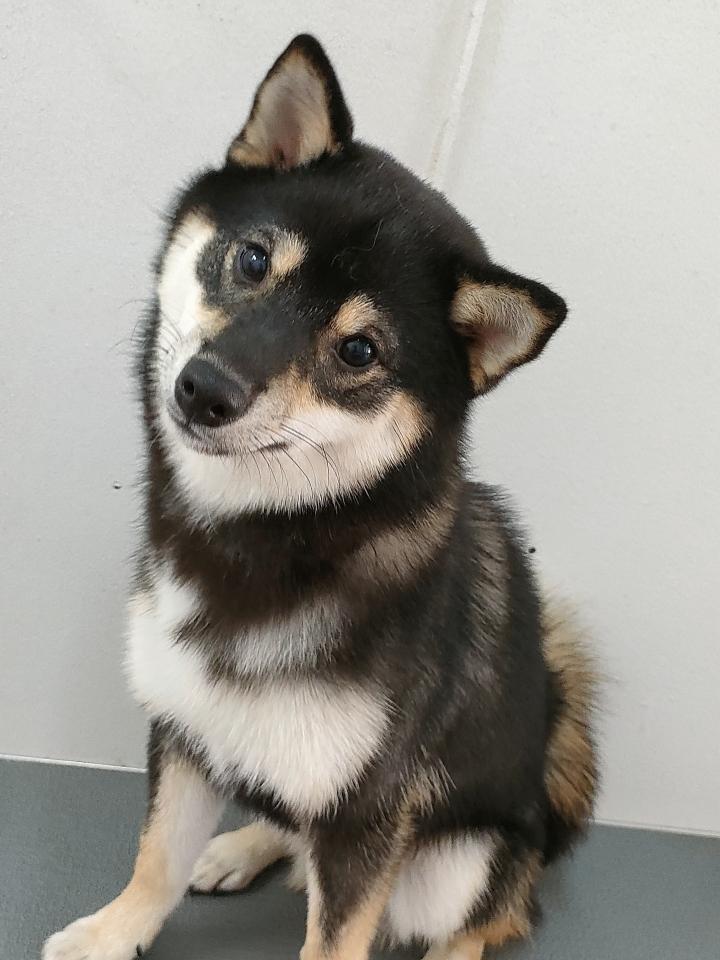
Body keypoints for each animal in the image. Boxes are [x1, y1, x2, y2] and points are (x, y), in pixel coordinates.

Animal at [44, 34, 598, 960]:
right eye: (253, 259)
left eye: (359, 351)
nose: (205, 389)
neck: (266, 540)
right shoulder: (185, 729)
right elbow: (157, 858)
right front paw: (112, 933)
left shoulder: (369, 811)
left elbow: (335, 940)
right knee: (288, 825)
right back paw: (242, 845)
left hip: (465, 858)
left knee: (491, 917)